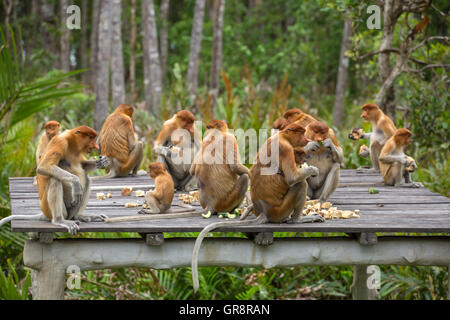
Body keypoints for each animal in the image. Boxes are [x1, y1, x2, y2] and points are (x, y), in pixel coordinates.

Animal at [192, 122, 326, 292]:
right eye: (301, 133)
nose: (306, 139)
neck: (282, 136)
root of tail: (264, 212)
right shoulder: (285, 149)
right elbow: (292, 177)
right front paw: (313, 170)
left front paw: (311, 146)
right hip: (279, 210)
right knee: (299, 184)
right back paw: (297, 220)